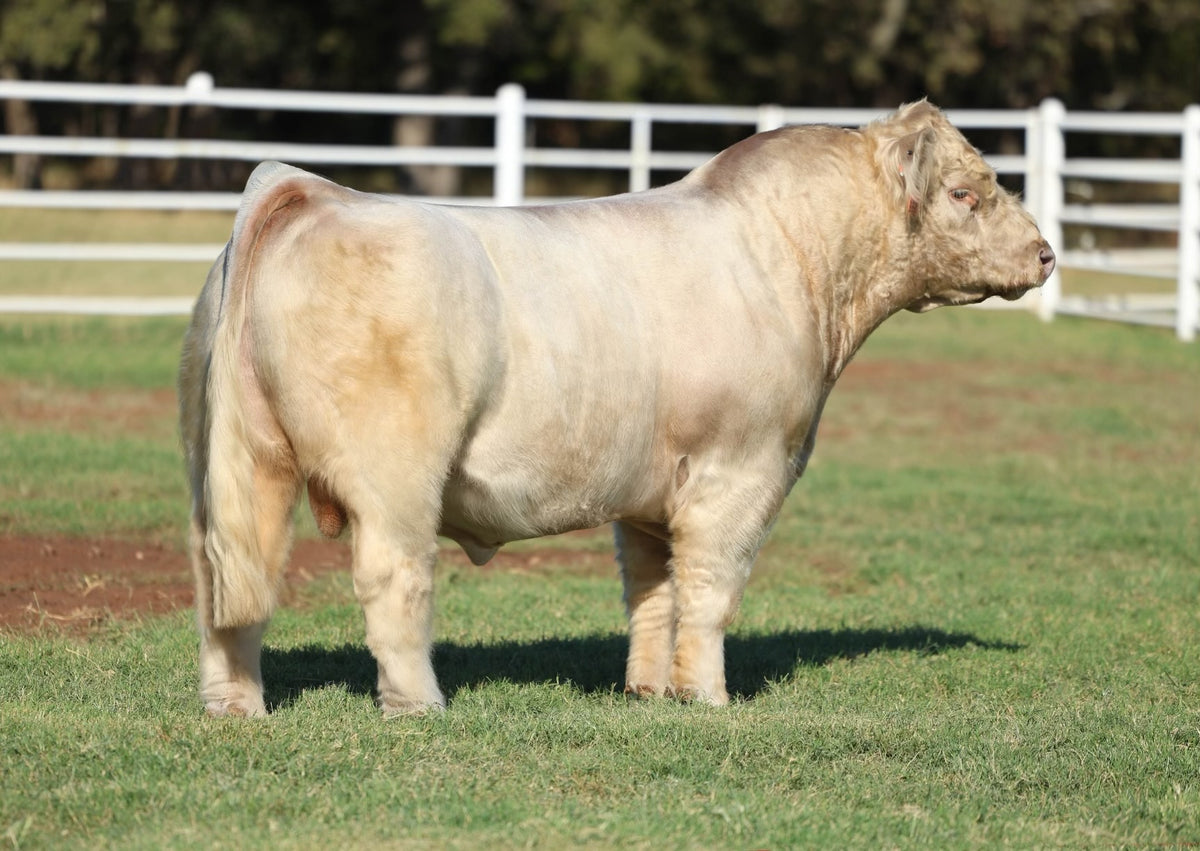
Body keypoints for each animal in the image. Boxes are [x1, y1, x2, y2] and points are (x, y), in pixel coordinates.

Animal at [179, 100, 1055, 718]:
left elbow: (652, 591)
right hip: (394, 471)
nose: (1046, 253)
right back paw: (419, 704)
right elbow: (709, 587)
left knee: (231, 578)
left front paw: (648, 689)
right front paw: (708, 694)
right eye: (965, 191)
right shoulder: (741, 467)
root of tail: (306, 189)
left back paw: (235, 707)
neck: (792, 261)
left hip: (237, 463)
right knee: (391, 574)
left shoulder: (648, 492)